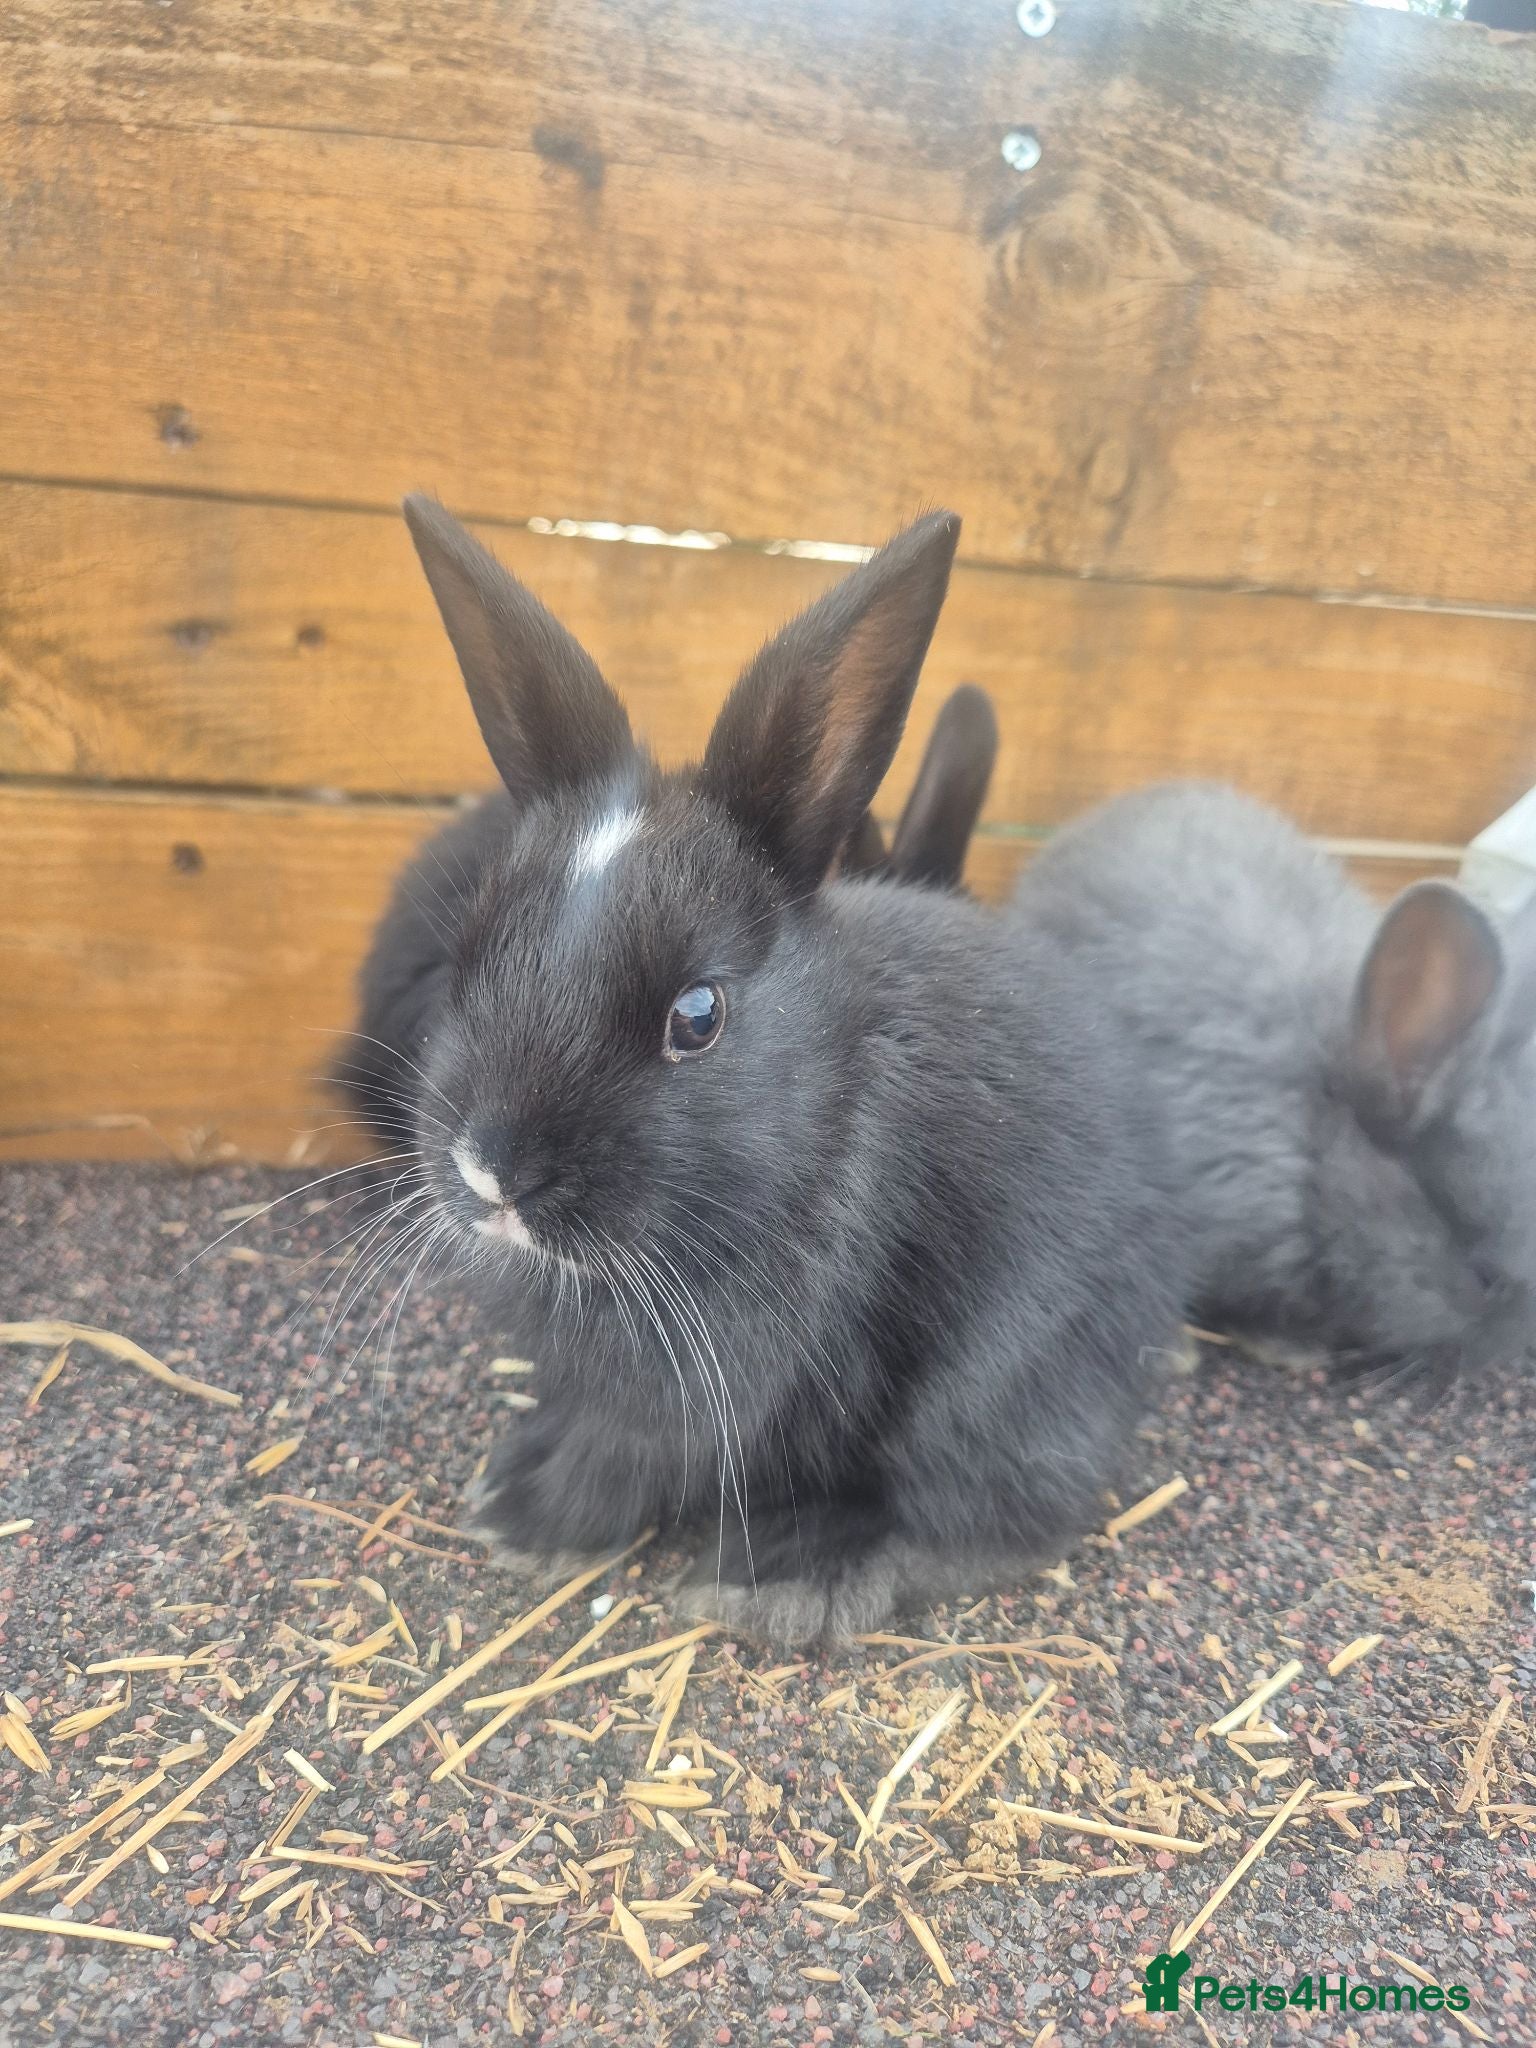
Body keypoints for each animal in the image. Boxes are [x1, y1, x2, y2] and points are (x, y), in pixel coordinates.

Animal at [334, 495, 1186, 1643]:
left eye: (697, 1016)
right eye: (470, 955)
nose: (489, 1169)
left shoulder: (710, 1383)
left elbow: (629, 1456)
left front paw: (525, 1519)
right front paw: (510, 1482)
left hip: (995, 1377)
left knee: (989, 1509)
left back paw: (787, 1574)